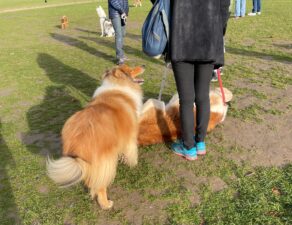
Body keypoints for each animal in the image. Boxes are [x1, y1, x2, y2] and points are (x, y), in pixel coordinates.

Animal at [47, 64, 146, 209]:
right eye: (131, 69)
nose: (143, 65)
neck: (119, 85)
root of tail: (78, 142)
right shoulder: (130, 135)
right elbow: (131, 151)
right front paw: (133, 163)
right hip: (105, 163)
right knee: (99, 186)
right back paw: (106, 204)